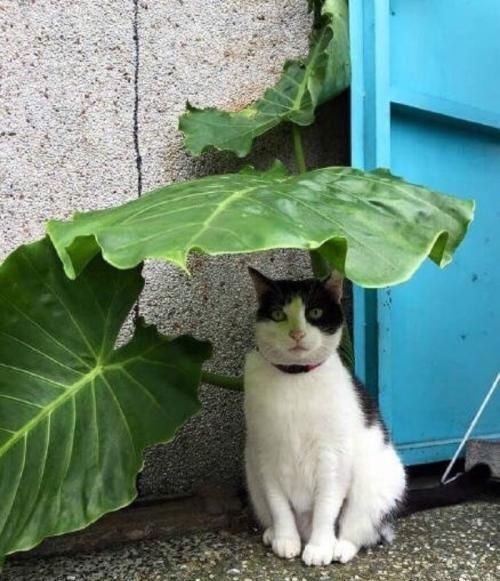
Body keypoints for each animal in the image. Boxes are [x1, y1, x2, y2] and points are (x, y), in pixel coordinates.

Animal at [244, 268, 490, 568]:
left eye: (315, 312)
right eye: (278, 314)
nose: (297, 333)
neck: (296, 379)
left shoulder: (333, 455)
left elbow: (326, 507)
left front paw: (320, 547)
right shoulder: (265, 454)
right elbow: (279, 505)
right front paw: (285, 540)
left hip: (373, 483)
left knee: (363, 530)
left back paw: (340, 547)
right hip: (251, 474)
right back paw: (274, 534)